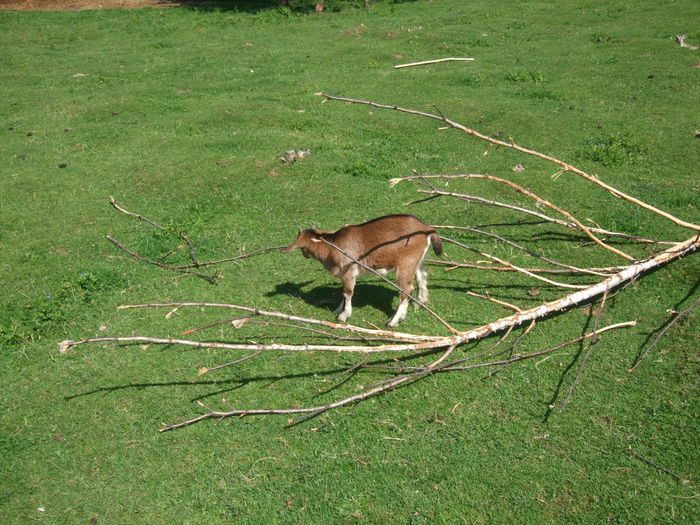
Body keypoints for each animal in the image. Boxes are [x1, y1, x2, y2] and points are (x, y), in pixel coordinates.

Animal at [280, 215, 440, 326]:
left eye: (302, 247)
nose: (304, 254)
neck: (332, 246)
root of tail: (427, 229)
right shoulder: (344, 275)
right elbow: (343, 293)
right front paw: (338, 309)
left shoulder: (348, 272)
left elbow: (348, 292)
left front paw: (343, 315)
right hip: (418, 260)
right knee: (422, 277)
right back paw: (419, 303)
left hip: (405, 264)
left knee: (406, 290)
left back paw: (393, 321)